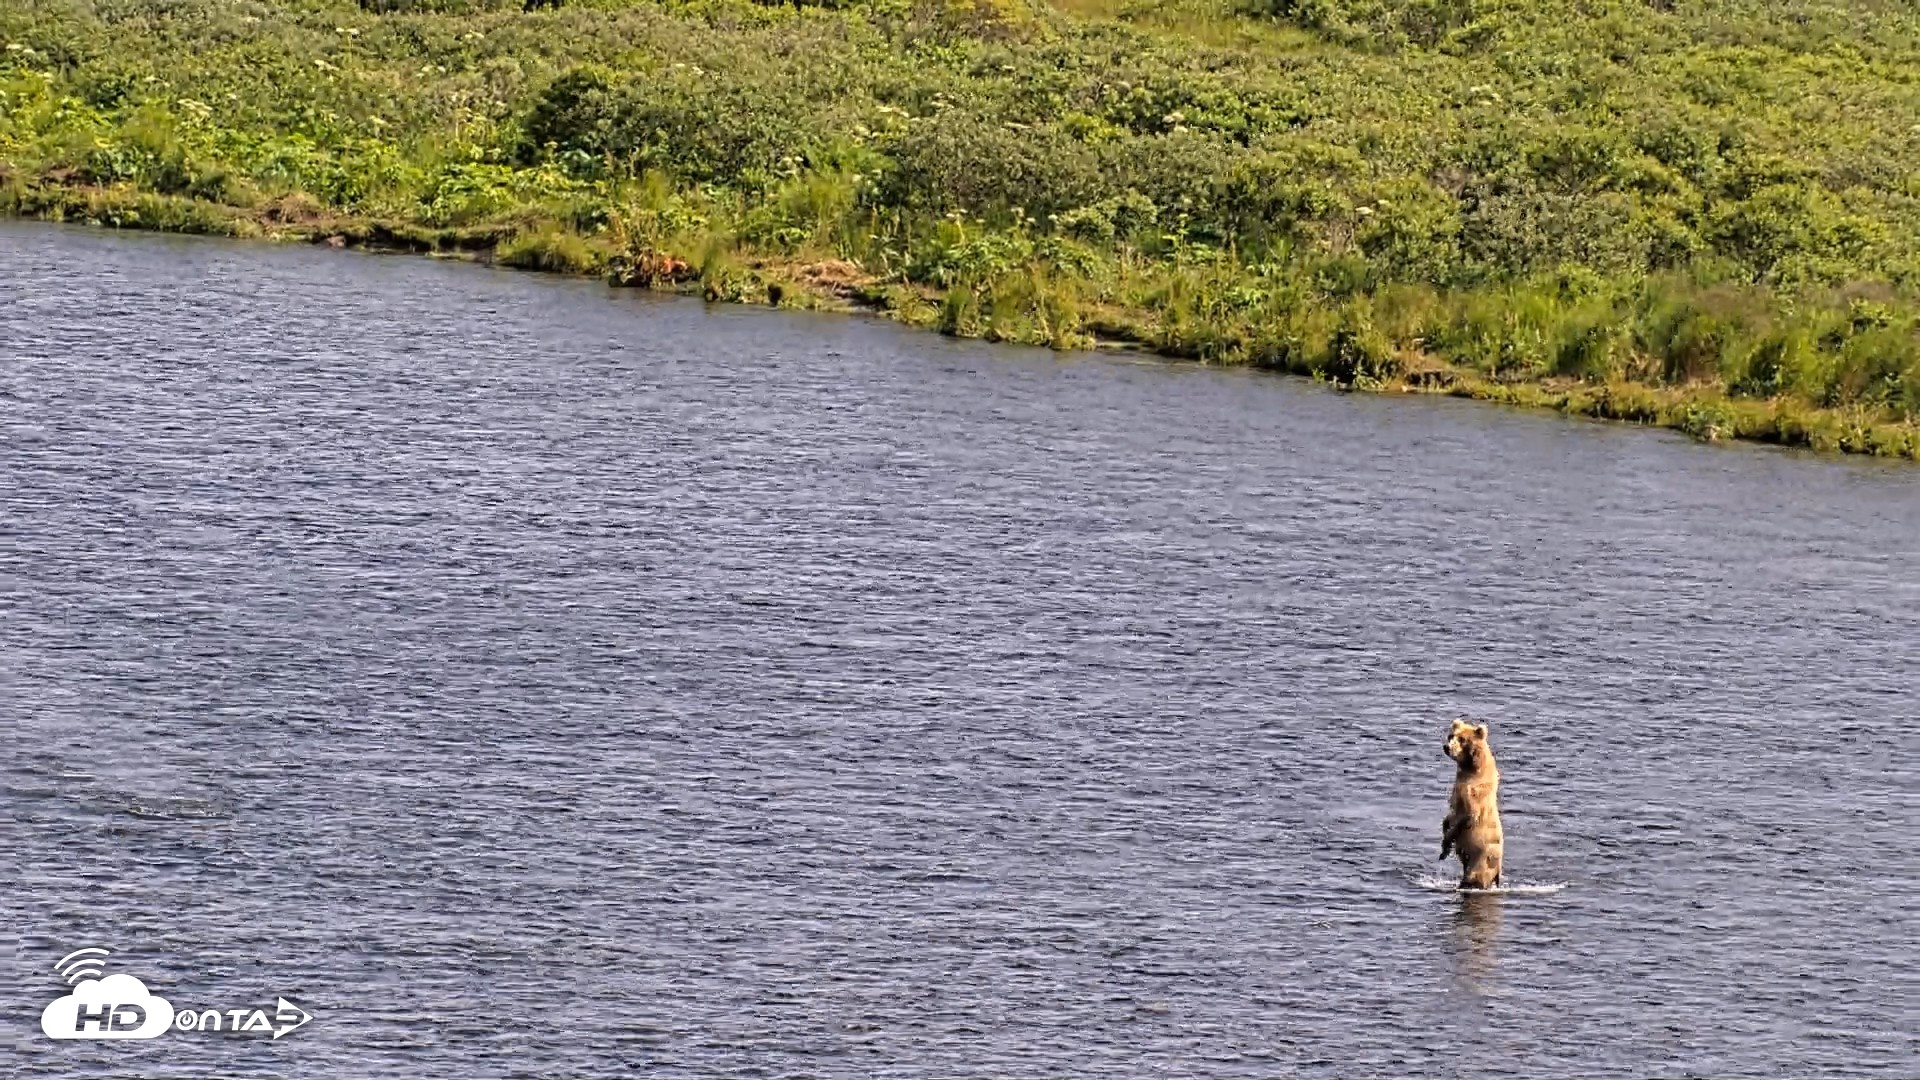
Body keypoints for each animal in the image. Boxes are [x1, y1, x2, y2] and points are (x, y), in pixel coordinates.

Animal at [1440, 717, 1504, 890]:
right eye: (1451, 735)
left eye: (1462, 739)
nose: (1447, 747)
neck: (1472, 769)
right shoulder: (1458, 787)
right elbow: (1450, 816)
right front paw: (1444, 846)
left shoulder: (1474, 793)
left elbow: (1468, 815)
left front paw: (1447, 841)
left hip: (1483, 859)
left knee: (1474, 877)